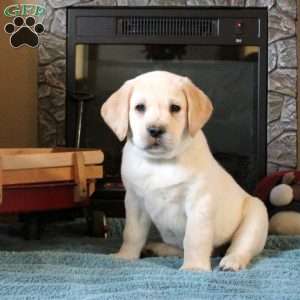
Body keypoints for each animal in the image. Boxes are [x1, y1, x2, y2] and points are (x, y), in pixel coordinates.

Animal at [100, 71, 268, 272]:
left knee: (241, 246)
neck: (160, 163)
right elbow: (132, 233)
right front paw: (125, 256)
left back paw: (232, 261)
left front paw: (194, 267)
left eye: (175, 108)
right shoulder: (135, 201)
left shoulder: (199, 203)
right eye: (140, 107)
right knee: (179, 248)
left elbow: (194, 238)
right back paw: (157, 248)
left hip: (256, 215)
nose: (155, 130)